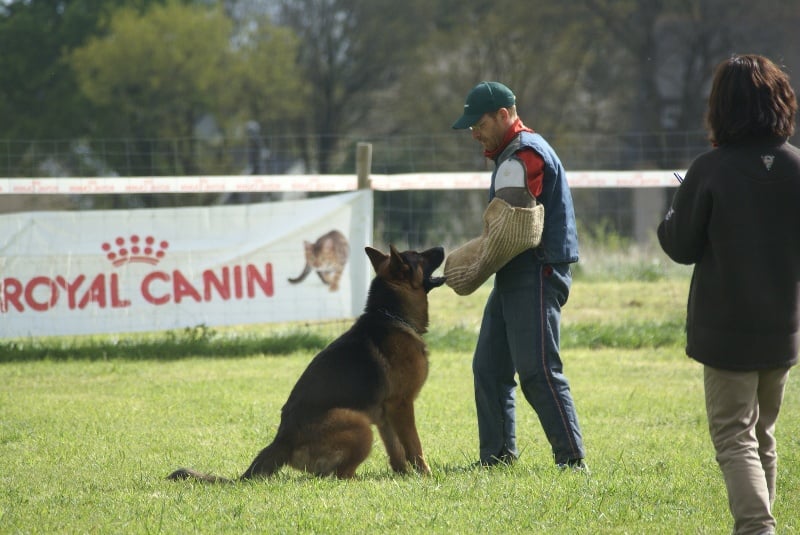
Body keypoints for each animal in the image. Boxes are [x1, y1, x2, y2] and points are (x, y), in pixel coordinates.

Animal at [168, 244, 446, 482]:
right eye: (419, 256)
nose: (443, 248)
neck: (393, 315)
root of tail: (282, 440)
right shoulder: (402, 406)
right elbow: (414, 446)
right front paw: (425, 475)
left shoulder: (386, 414)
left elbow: (396, 451)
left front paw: (403, 475)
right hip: (359, 424)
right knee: (340, 475)